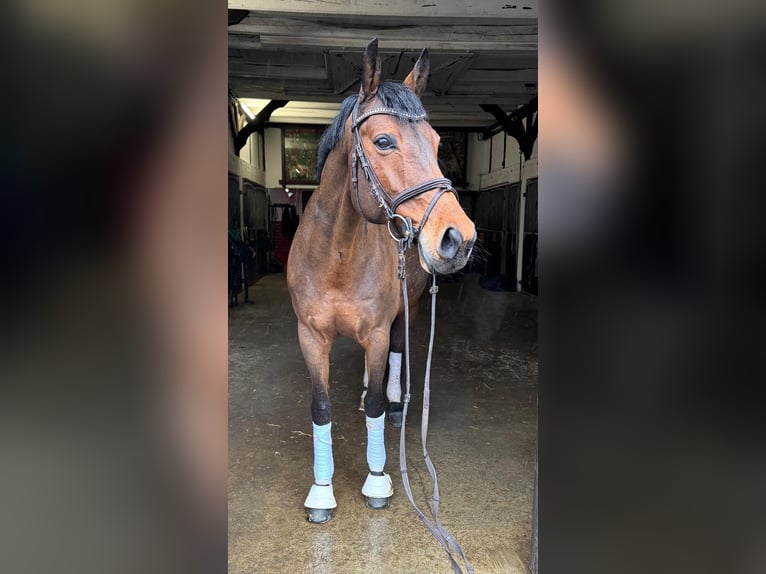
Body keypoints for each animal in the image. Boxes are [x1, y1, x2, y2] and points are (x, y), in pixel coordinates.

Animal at [286, 38, 476, 524]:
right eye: (384, 141)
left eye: (437, 143)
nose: (459, 237)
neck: (337, 255)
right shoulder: (310, 336)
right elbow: (320, 408)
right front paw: (321, 492)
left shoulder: (373, 332)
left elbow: (374, 398)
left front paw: (376, 480)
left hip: (405, 311)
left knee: (395, 354)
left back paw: (394, 404)